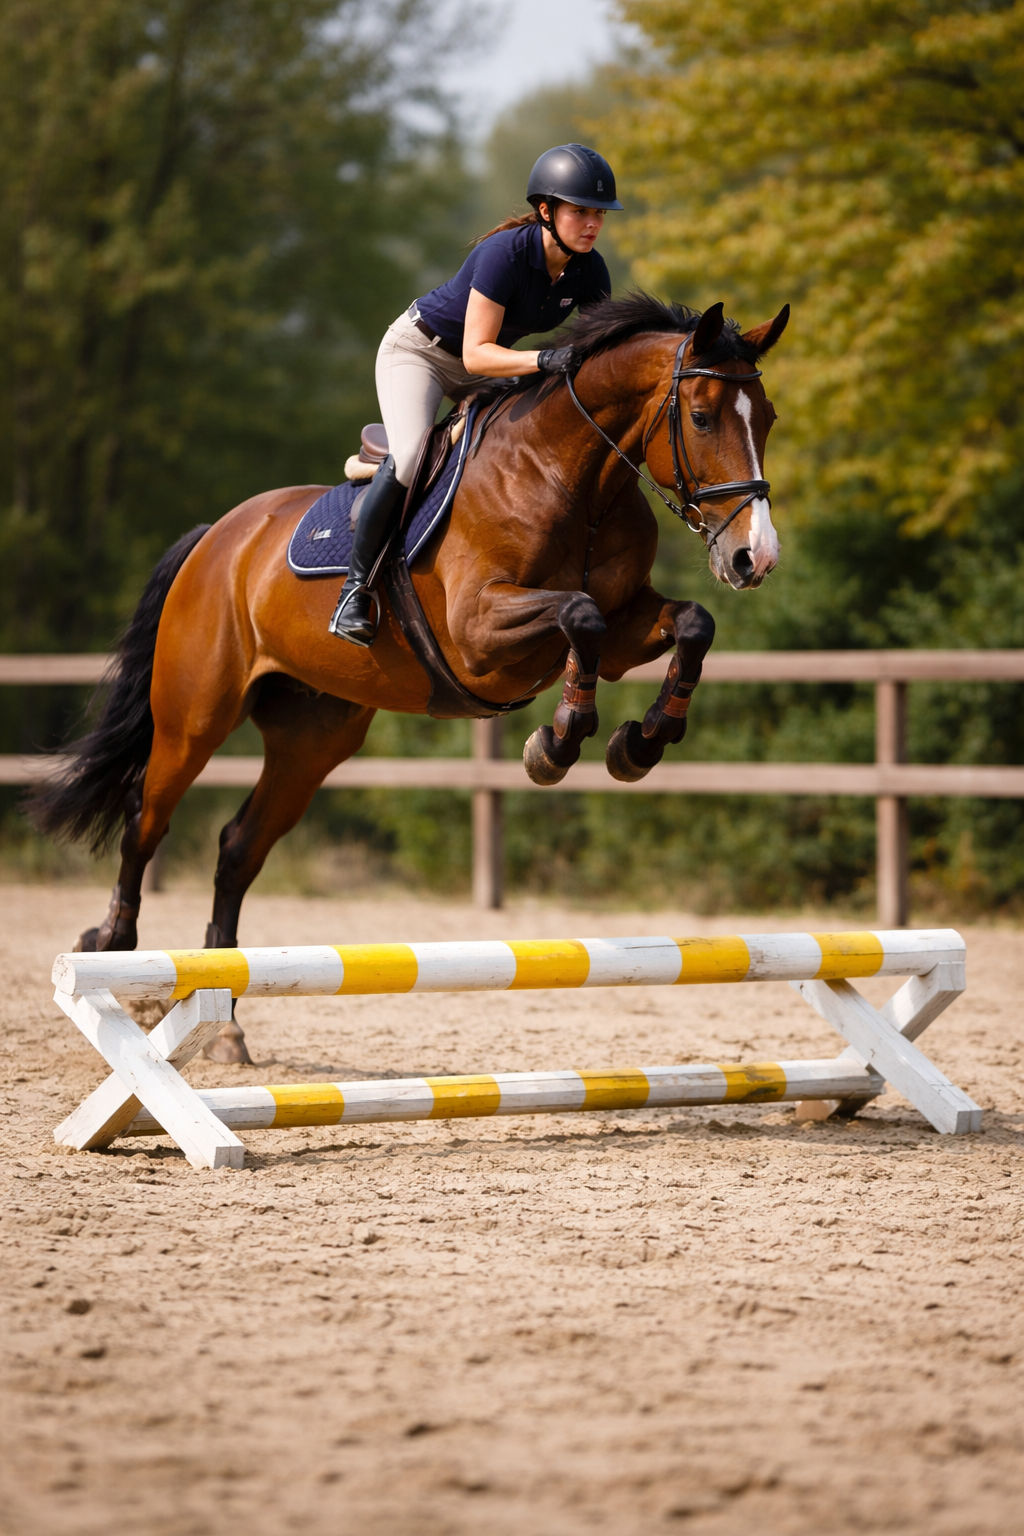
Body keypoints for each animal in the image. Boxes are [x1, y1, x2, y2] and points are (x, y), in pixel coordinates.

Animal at [32, 292, 788, 1061]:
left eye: (768, 417)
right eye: (702, 417)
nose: (754, 558)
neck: (574, 479)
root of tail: (217, 535)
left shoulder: (625, 622)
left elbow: (689, 623)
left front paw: (641, 741)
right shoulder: (481, 634)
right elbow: (580, 615)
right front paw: (557, 741)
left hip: (313, 740)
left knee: (239, 847)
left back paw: (225, 1021)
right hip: (194, 717)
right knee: (144, 821)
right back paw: (111, 950)